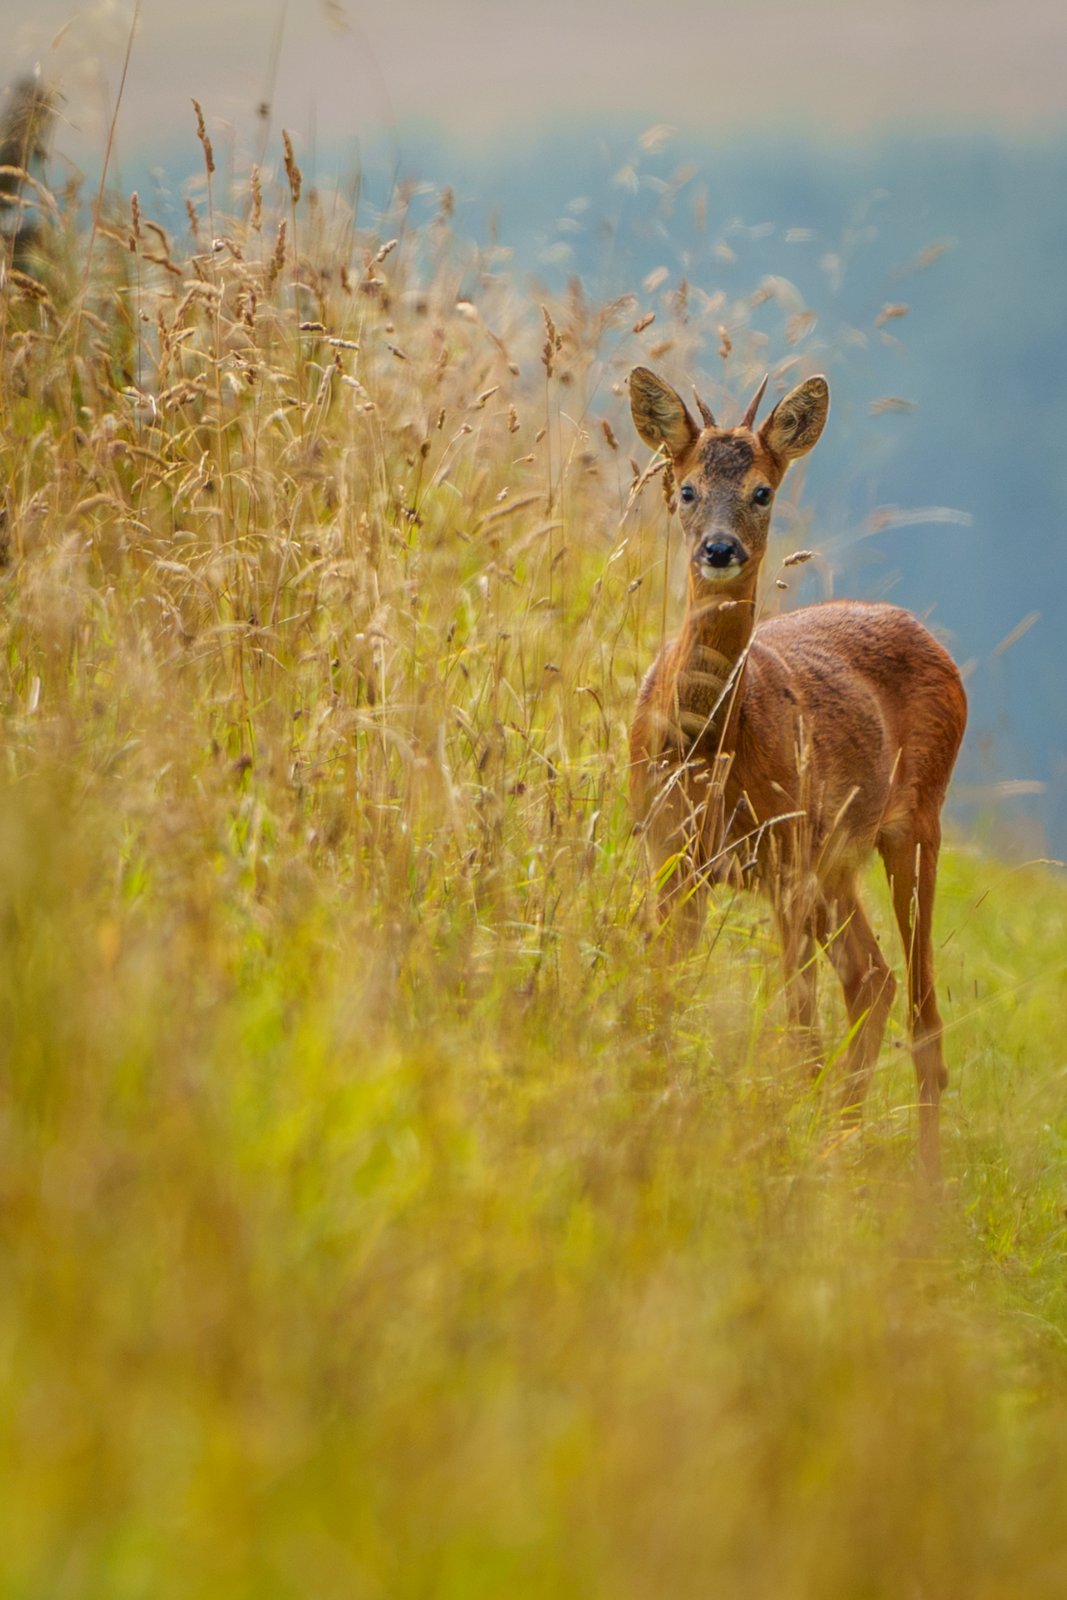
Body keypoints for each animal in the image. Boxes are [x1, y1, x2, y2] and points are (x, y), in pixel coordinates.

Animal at [628, 364, 967, 1181]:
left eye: (762, 491)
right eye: (685, 488)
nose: (719, 549)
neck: (706, 747)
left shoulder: (782, 860)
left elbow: (795, 1026)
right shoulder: (669, 852)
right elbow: (665, 989)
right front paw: (653, 1104)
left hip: (911, 827)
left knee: (921, 1014)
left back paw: (921, 1187)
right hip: (833, 862)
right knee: (871, 981)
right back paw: (838, 1139)